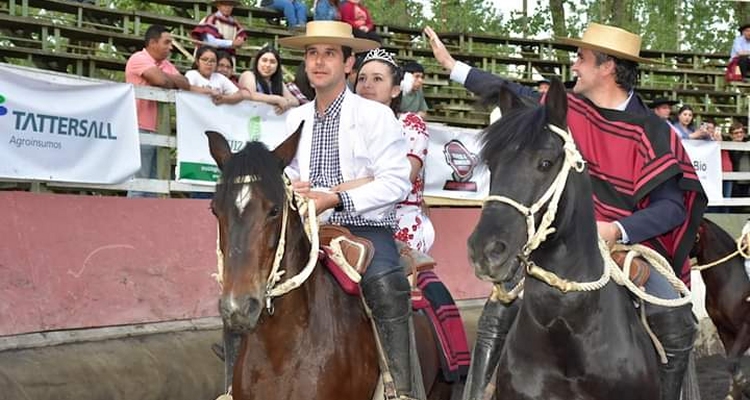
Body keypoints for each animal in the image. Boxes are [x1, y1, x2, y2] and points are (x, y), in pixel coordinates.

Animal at [692, 219, 750, 400]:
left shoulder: (746, 328)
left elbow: (732, 361)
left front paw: (745, 388)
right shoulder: (724, 329)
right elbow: (731, 362)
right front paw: (734, 394)